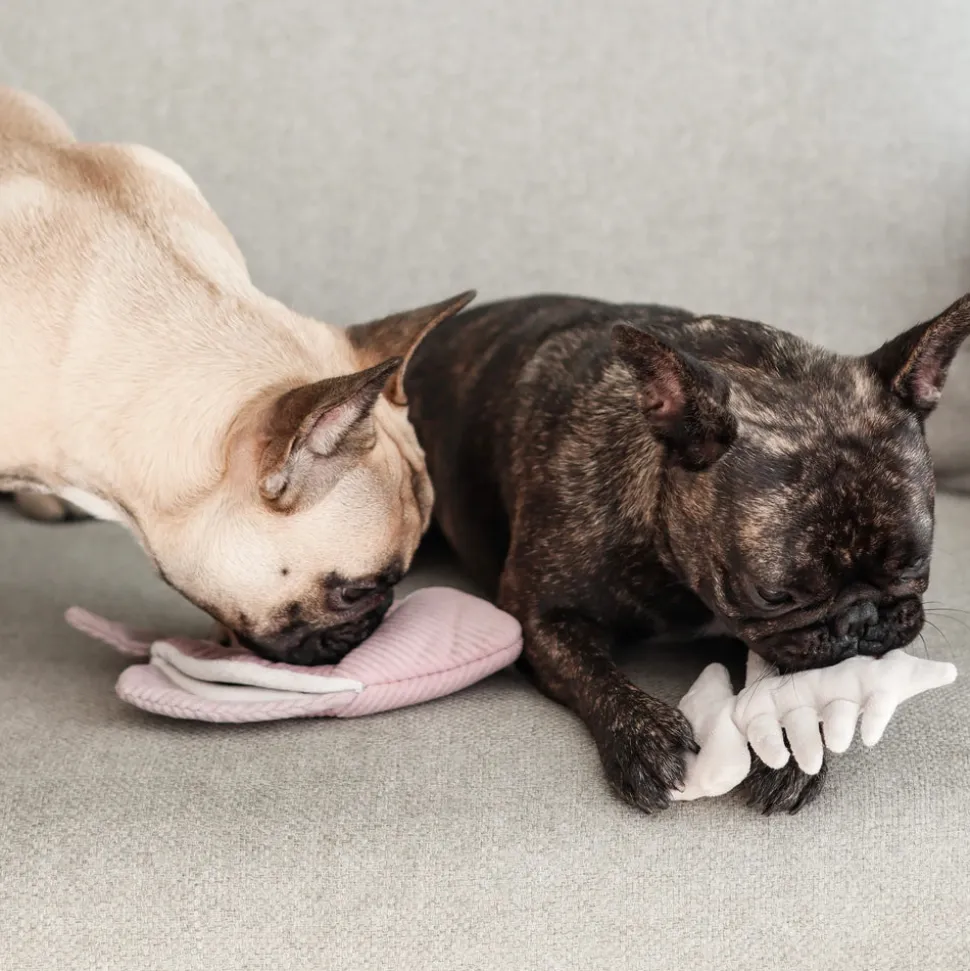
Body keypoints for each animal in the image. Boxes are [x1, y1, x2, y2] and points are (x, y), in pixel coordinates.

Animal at [404, 292, 970, 813]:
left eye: (916, 563)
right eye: (772, 594)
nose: (861, 618)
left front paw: (789, 738)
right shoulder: (537, 615)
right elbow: (591, 670)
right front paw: (643, 736)